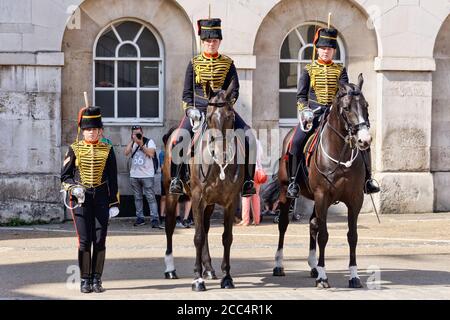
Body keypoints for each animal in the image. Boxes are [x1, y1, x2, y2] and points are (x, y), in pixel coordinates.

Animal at [163, 82, 246, 290]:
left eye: (230, 116)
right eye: (208, 117)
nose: (221, 152)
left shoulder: (230, 201)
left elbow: (226, 237)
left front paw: (227, 277)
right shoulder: (197, 198)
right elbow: (198, 236)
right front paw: (197, 278)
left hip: (209, 203)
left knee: (207, 228)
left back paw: (208, 268)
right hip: (172, 194)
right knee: (170, 226)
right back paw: (170, 269)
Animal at [274, 74, 372, 288]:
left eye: (366, 105)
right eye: (346, 108)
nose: (365, 140)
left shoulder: (355, 199)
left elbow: (352, 236)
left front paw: (354, 276)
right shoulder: (322, 196)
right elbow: (325, 236)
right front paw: (323, 277)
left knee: (313, 224)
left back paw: (313, 266)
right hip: (287, 191)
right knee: (284, 224)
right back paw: (279, 265)